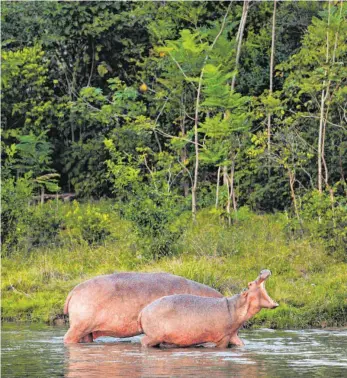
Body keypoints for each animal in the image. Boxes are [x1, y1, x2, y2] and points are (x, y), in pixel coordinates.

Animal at [137, 268, 278, 348]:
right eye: (250, 284)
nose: (262, 271)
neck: (237, 306)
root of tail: (142, 311)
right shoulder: (223, 337)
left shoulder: (233, 335)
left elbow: (241, 344)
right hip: (154, 336)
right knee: (143, 341)